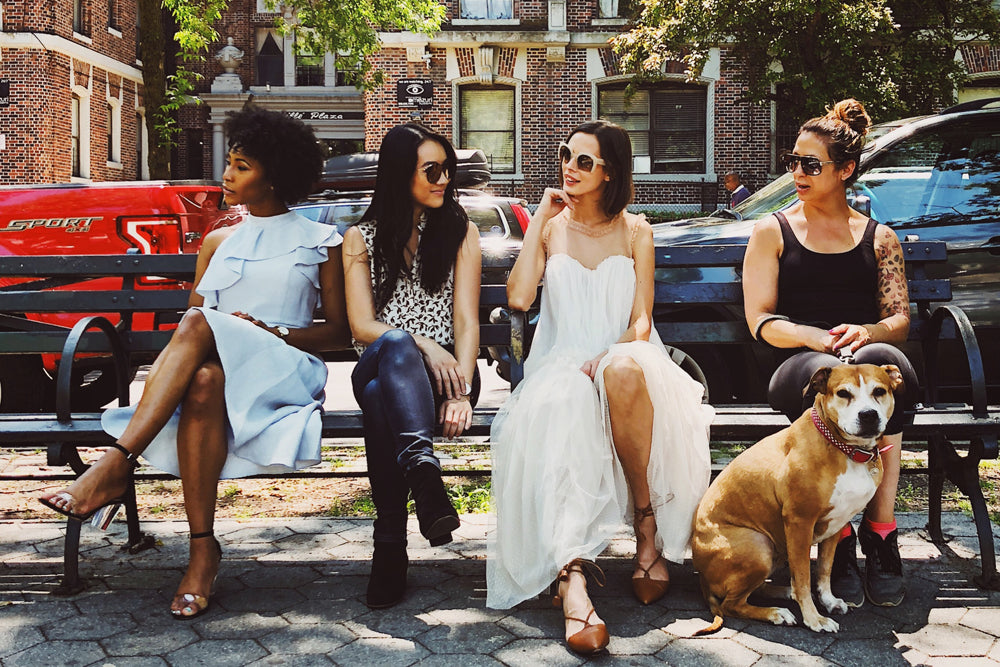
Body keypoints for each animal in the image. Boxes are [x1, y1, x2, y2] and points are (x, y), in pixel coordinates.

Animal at [692, 362, 904, 636]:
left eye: (879, 391)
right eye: (843, 393)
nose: (868, 415)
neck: (844, 449)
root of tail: (701, 576)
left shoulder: (836, 524)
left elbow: (824, 569)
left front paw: (828, 601)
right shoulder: (799, 523)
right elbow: (804, 576)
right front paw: (814, 619)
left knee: (755, 589)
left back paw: (784, 592)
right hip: (759, 545)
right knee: (732, 604)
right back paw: (776, 613)